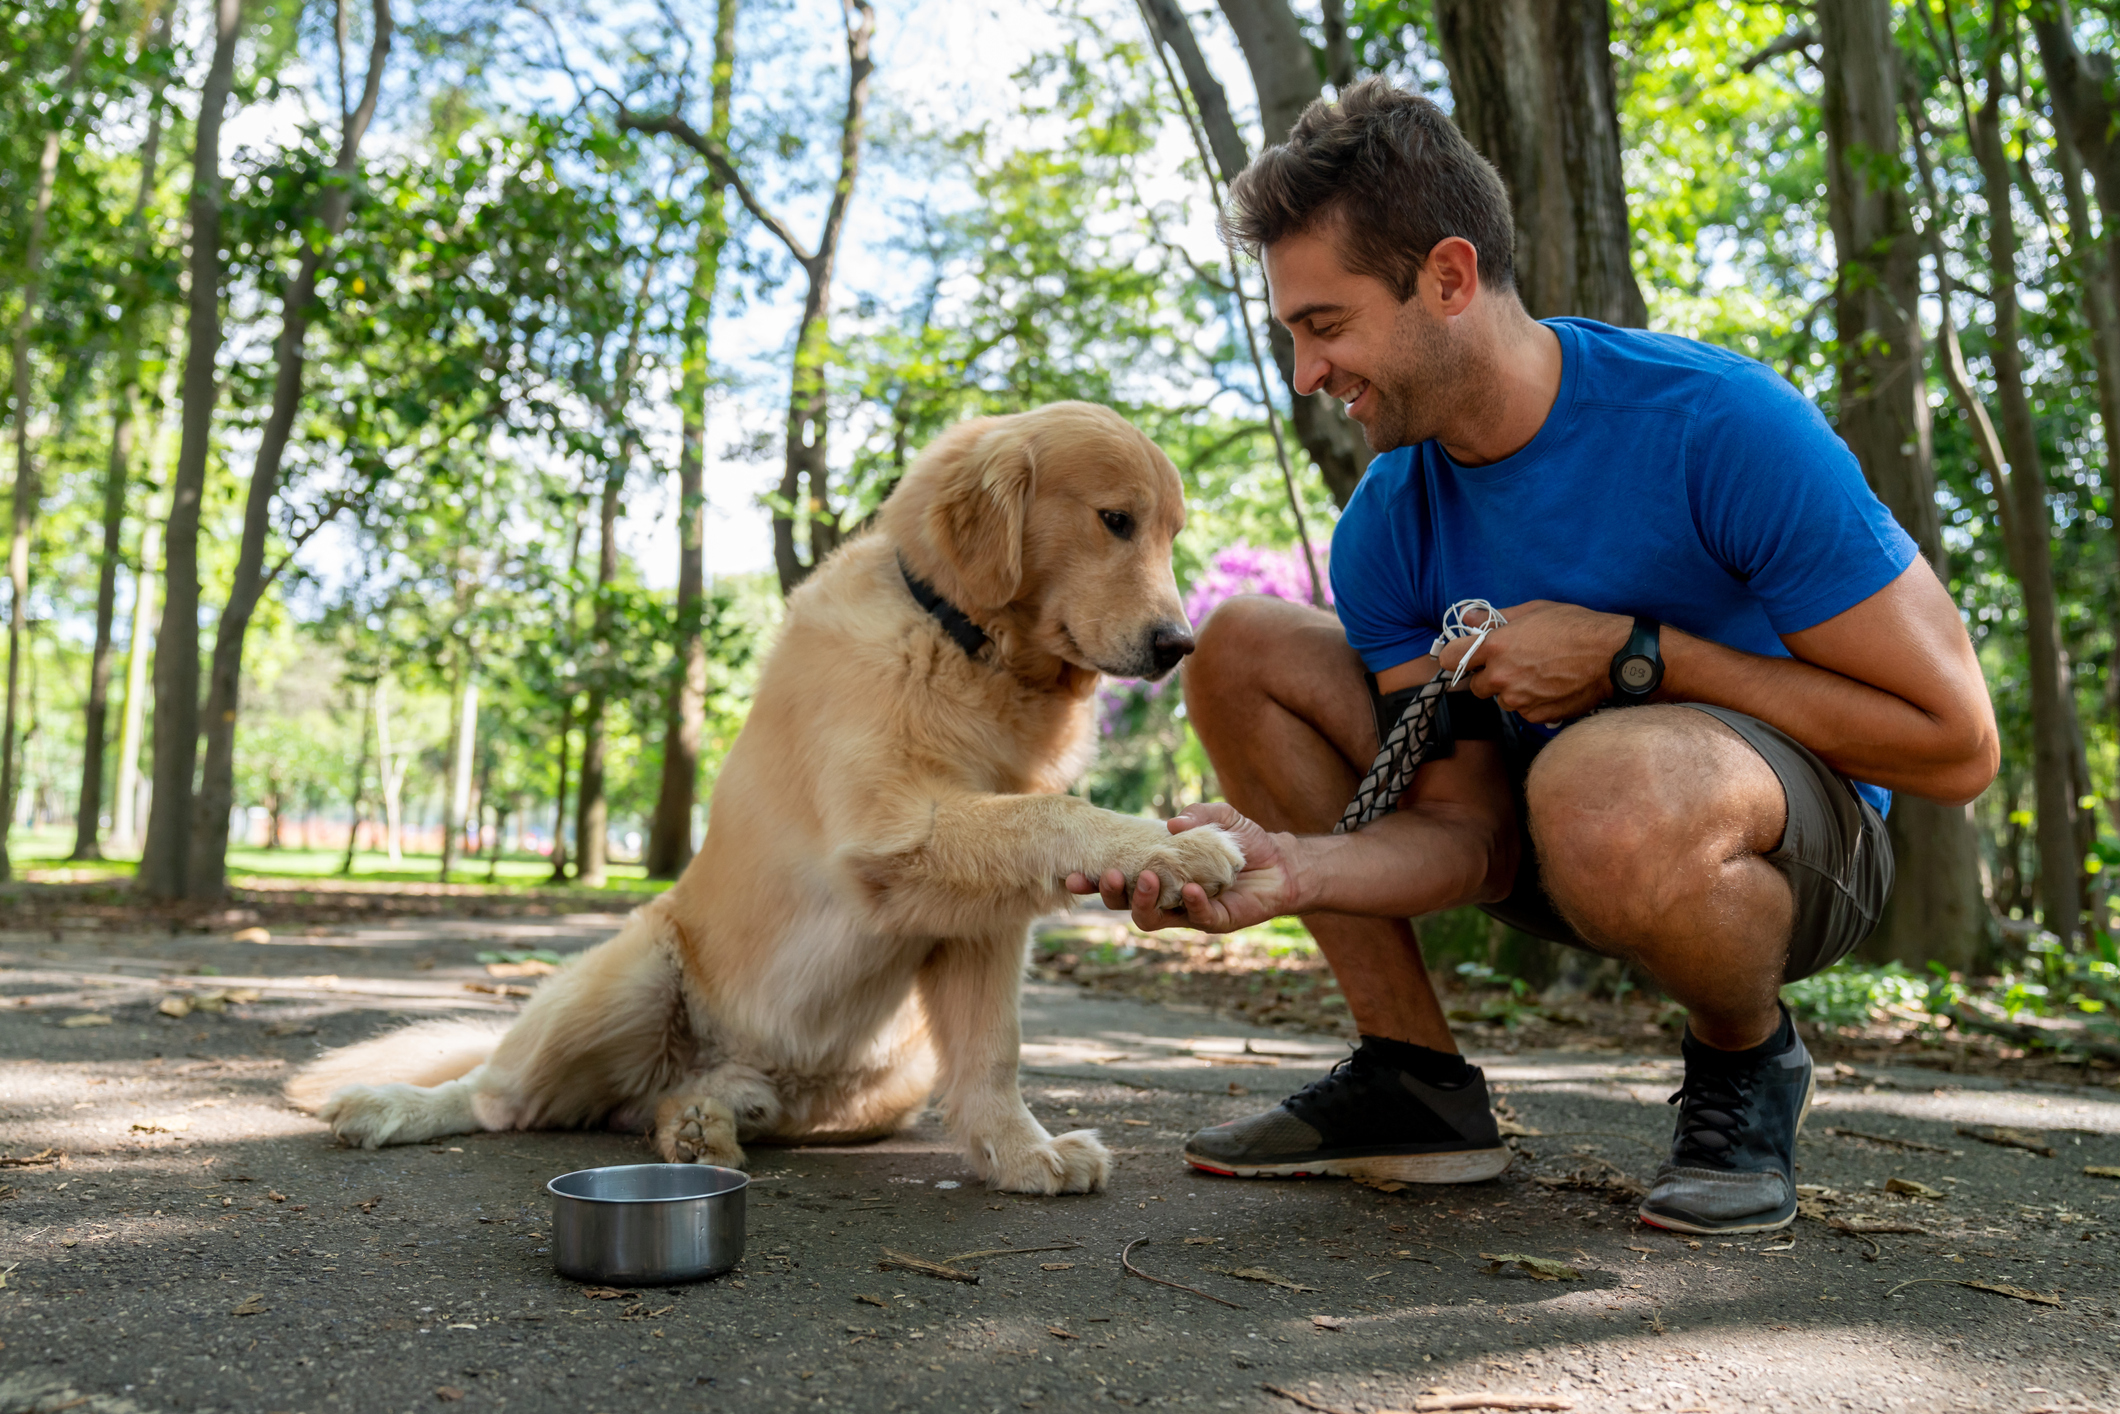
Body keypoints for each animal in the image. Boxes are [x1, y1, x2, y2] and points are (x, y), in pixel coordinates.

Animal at [281, 398, 1238, 1195]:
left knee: (681, 1104)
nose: (1180, 645)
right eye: (1115, 521)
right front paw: (1172, 846)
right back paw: (390, 1106)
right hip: (628, 979)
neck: (966, 645)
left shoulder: (979, 925)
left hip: (877, 1077)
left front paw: (1019, 1154)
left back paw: (705, 1122)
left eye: (1170, 534)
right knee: (498, 1096)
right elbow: (1053, 812)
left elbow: (993, 1054)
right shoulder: (888, 834)